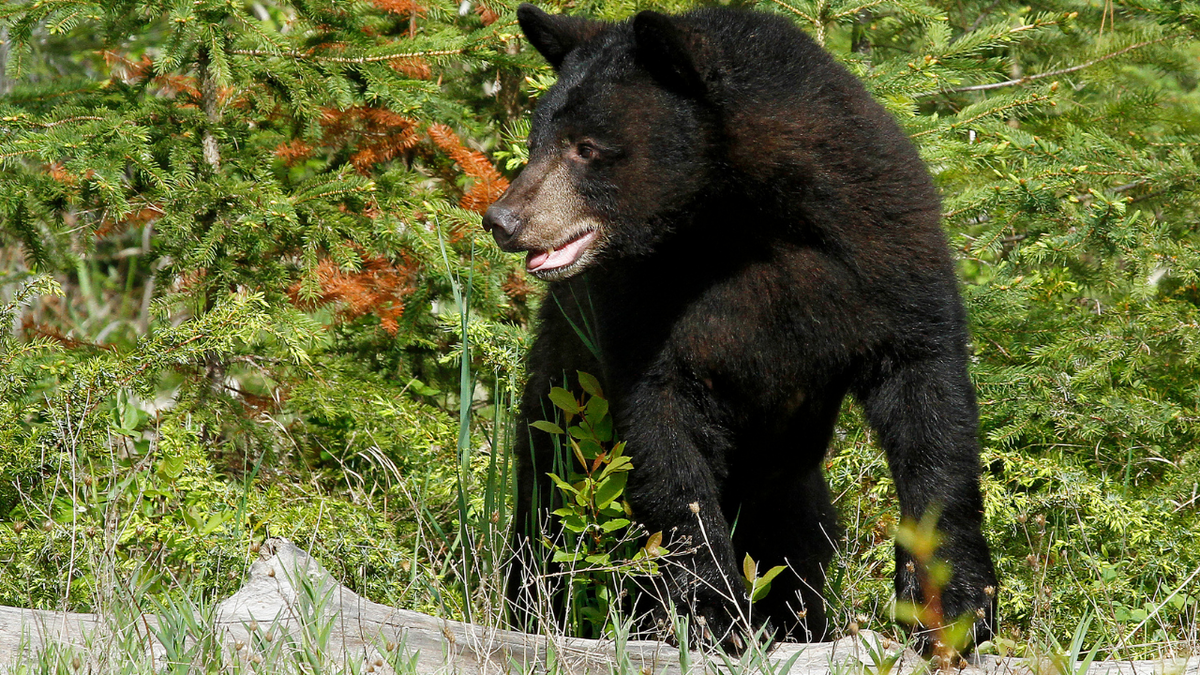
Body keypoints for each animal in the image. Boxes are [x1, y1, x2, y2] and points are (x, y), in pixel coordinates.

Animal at [484, 3, 999, 652]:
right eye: (536, 141)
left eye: (587, 147)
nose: (503, 218)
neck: (739, 221)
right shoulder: (641, 304)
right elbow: (665, 434)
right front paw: (715, 615)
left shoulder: (881, 252)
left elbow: (928, 404)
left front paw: (956, 606)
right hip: (564, 410)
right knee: (547, 512)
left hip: (788, 487)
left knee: (798, 544)